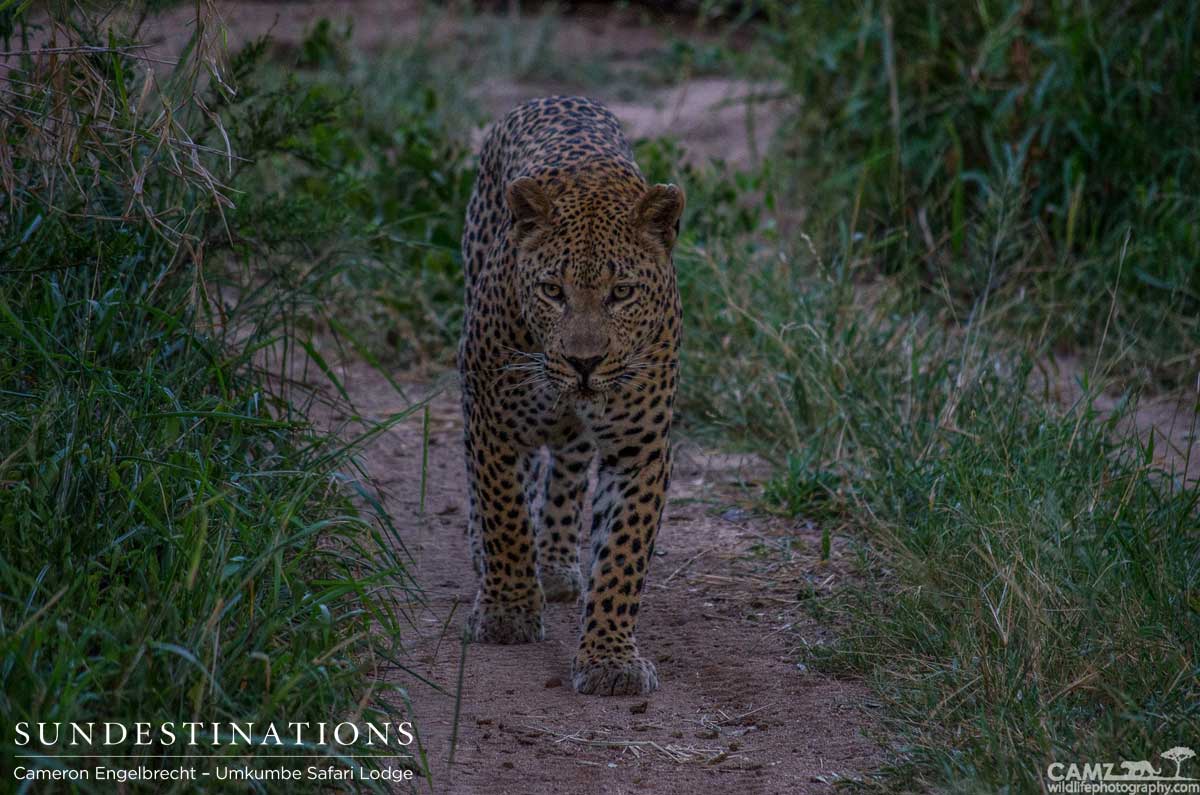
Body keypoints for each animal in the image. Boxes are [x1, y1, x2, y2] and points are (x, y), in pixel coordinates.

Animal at [456, 96, 686, 696]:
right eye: (551, 291)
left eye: (622, 292)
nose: (585, 362)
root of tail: (553, 97)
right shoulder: (493, 420)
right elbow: (505, 515)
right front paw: (508, 611)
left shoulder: (641, 448)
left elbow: (623, 552)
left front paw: (610, 658)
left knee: (567, 470)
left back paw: (558, 564)